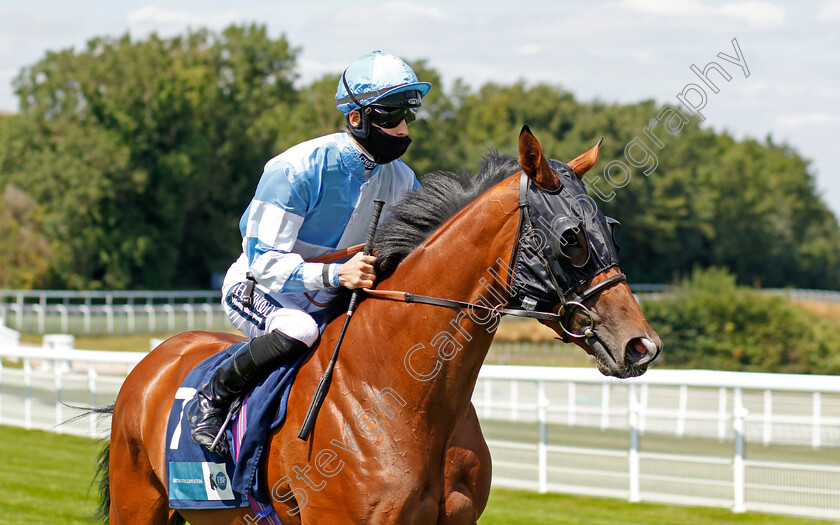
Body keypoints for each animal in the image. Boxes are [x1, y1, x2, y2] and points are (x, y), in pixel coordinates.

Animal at [100, 128, 664, 524]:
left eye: (611, 228)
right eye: (571, 238)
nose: (642, 346)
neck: (401, 396)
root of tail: (156, 359)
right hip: (138, 502)